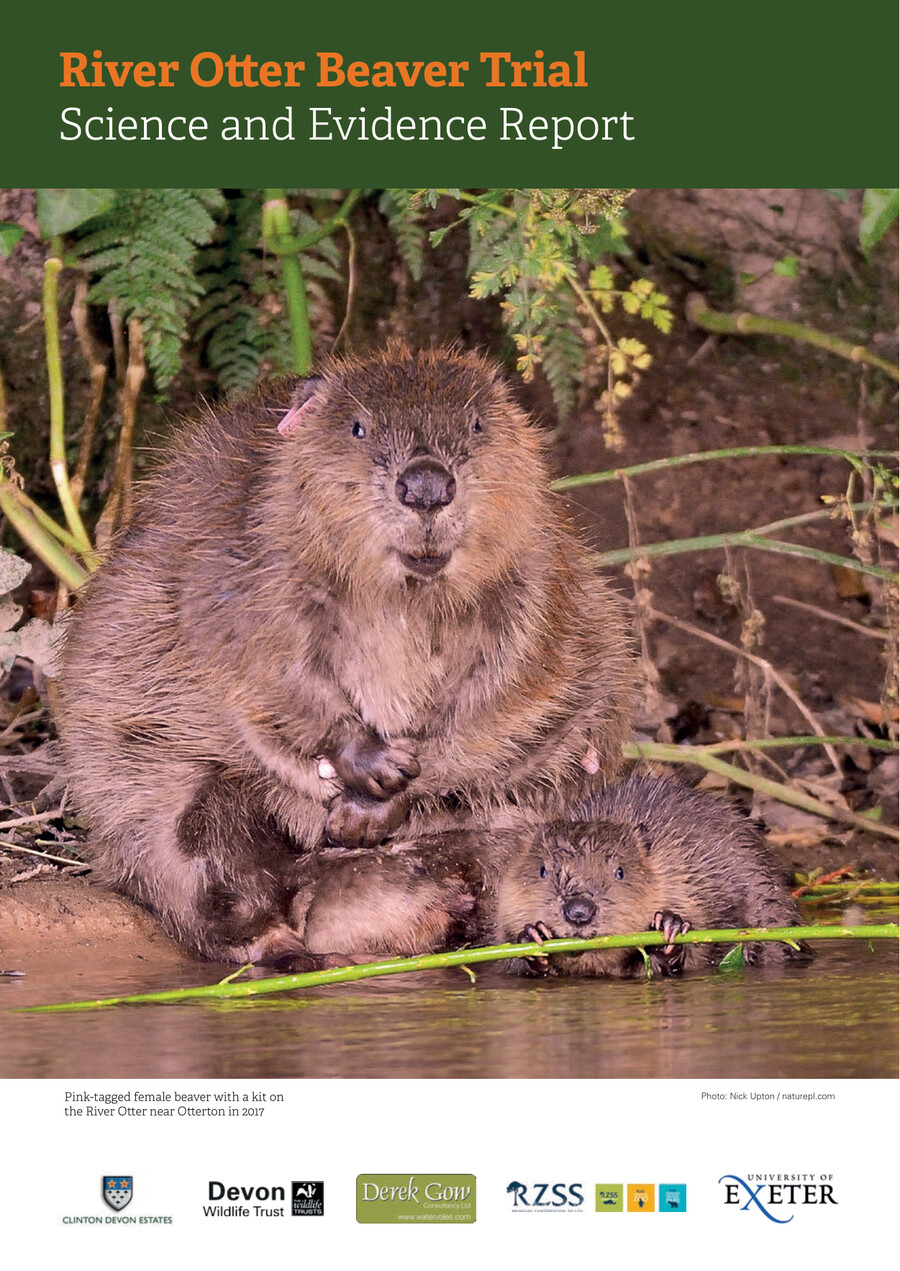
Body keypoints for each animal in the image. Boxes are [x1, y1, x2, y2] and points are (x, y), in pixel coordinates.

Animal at [58, 345, 634, 965]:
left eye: (478, 425)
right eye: (359, 427)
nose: (426, 486)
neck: (407, 596)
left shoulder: (542, 585)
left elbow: (498, 701)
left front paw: (370, 809)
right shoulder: (233, 566)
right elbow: (268, 679)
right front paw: (370, 771)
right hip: (162, 800)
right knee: (208, 861)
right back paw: (292, 949)